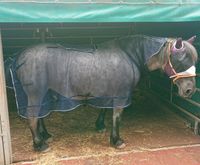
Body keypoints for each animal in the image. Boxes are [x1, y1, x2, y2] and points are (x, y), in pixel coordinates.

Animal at [8, 35, 198, 152]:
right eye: (181, 59)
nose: (189, 90)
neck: (129, 55)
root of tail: (20, 57)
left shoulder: (109, 92)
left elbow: (105, 110)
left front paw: (99, 125)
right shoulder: (120, 95)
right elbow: (116, 116)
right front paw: (116, 140)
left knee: (40, 114)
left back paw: (45, 136)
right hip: (36, 93)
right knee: (33, 116)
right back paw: (39, 144)